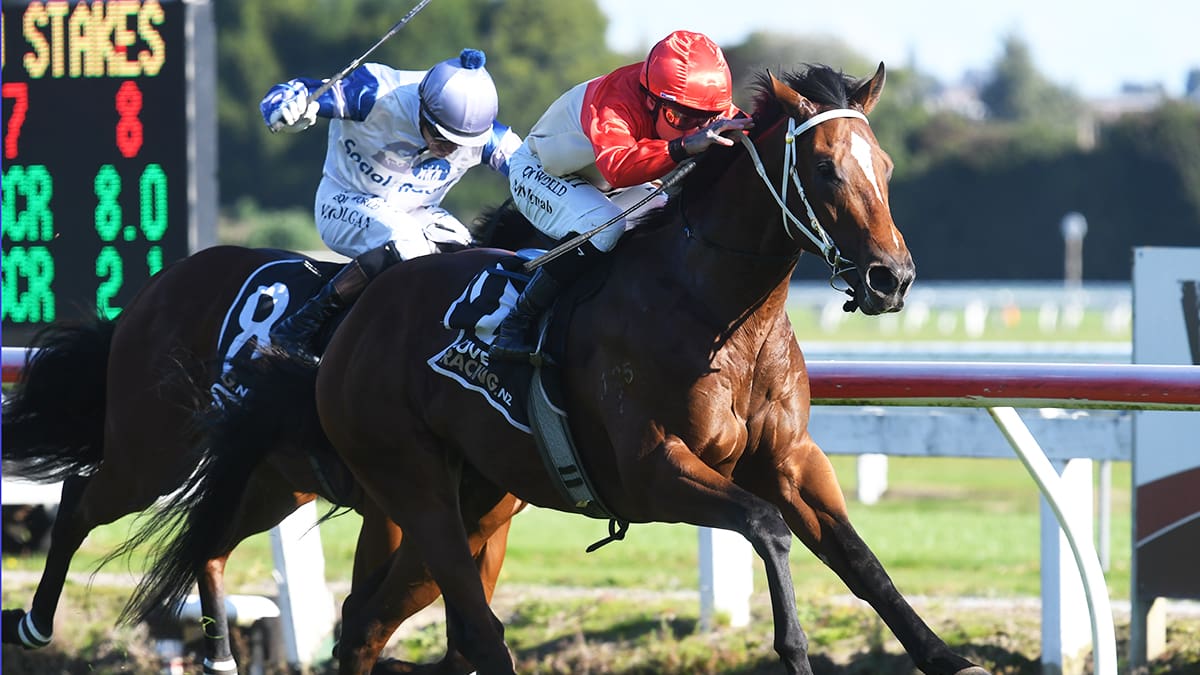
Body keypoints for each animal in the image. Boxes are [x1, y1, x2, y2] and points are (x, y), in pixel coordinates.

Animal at [1, 210, 540, 674]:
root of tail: (158, 284)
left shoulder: (484, 521)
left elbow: (460, 633)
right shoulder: (395, 506)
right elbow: (382, 608)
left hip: (274, 484)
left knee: (209, 548)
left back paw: (219, 659)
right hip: (151, 455)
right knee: (79, 499)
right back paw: (32, 624)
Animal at [127, 63, 993, 675]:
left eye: (884, 164)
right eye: (824, 167)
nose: (891, 278)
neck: (717, 309)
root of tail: (347, 324)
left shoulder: (789, 457)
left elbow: (859, 558)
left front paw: (948, 655)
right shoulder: (651, 469)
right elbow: (767, 528)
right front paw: (795, 648)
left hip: (476, 499)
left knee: (369, 623)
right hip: (413, 485)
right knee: (476, 631)